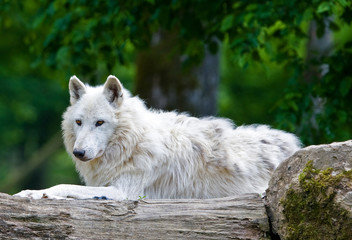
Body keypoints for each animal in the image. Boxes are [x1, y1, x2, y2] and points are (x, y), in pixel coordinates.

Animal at [15, 76, 300, 200]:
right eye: (78, 122)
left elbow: (62, 186)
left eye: (100, 123)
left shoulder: (123, 191)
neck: (133, 142)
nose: (79, 153)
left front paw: (32, 193)